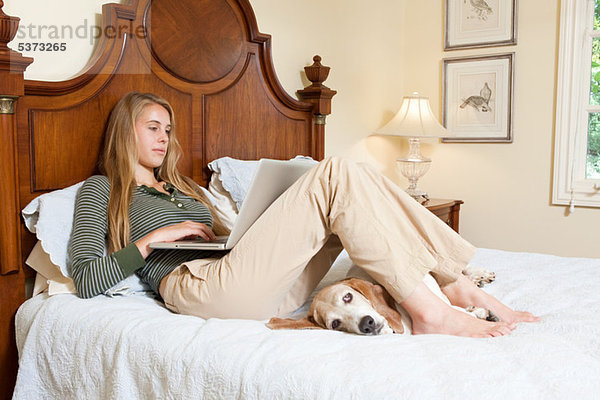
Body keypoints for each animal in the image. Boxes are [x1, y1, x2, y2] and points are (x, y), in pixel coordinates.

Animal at [268, 266, 496, 334]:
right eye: (335, 324)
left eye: (348, 296)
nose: (366, 324)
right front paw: (478, 313)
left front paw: (479, 312)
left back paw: (480, 275)